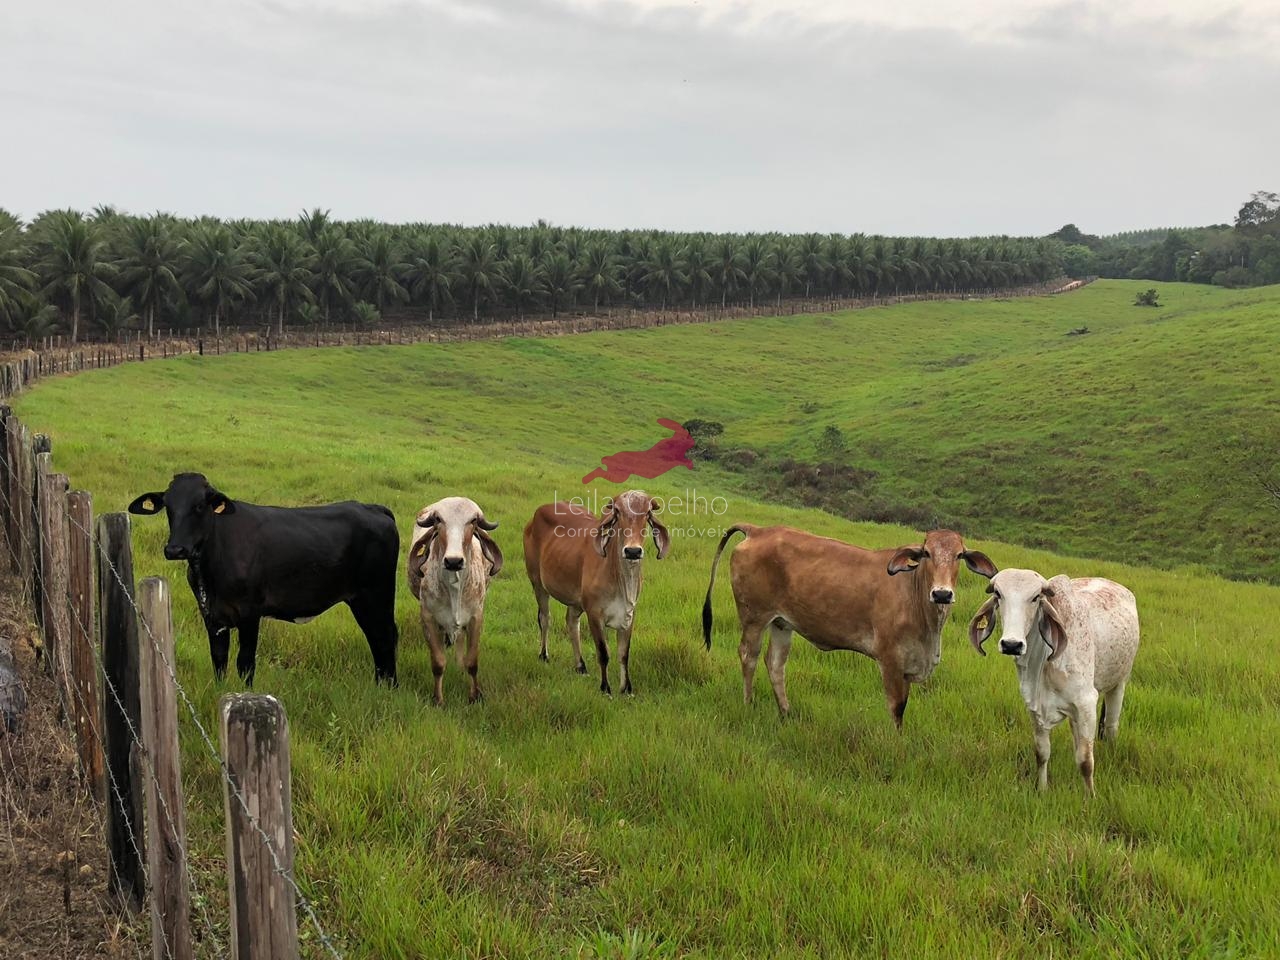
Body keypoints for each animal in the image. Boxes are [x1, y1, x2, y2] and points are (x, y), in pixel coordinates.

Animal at [128, 478, 399, 686]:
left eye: (199, 506)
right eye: (168, 506)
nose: (175, 549)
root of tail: (372, 508)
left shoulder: (250, 614)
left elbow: (245, 663)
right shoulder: (211, 615)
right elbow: (219, 659)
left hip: (376, 595)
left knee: (385, 638)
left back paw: (389, 689)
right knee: (376, 639)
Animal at [524, 491, 675, 696]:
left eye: (647, 513)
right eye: (617, 511)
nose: (633, 551)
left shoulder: (629, 614)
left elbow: (624, 654)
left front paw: (626, 689)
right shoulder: (594, 613)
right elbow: (603, 652)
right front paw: (605, 688)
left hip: (576, 601)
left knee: (571, 622)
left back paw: (580, 666)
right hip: (538, 583)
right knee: (545, 618)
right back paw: (544, 655)